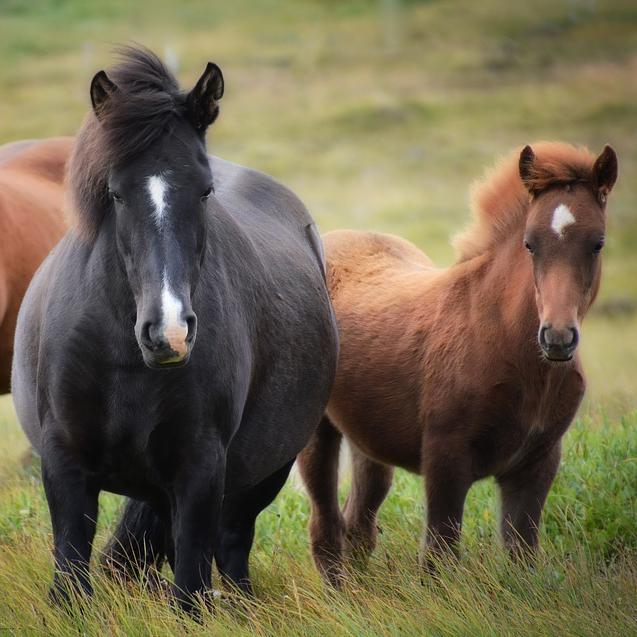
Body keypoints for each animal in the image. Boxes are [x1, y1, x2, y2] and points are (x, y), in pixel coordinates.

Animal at [11, 47, 338, 608]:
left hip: (263, 473)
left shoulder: (201, 469)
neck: (123, 358)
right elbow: (71, 579)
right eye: (116, 194)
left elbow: (190, 586)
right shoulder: (64, 463)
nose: (170, 333)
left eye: (205, 192)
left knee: (231, 546)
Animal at [298, 142, 616, 584]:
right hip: (316, 431)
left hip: (369, 440)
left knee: (358, 523)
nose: (557, 338)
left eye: (597, 243)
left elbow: (522, 554)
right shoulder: (445, 458)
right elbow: (439, 556)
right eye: (530, 243)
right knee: (325, 525)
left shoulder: (537, 463)